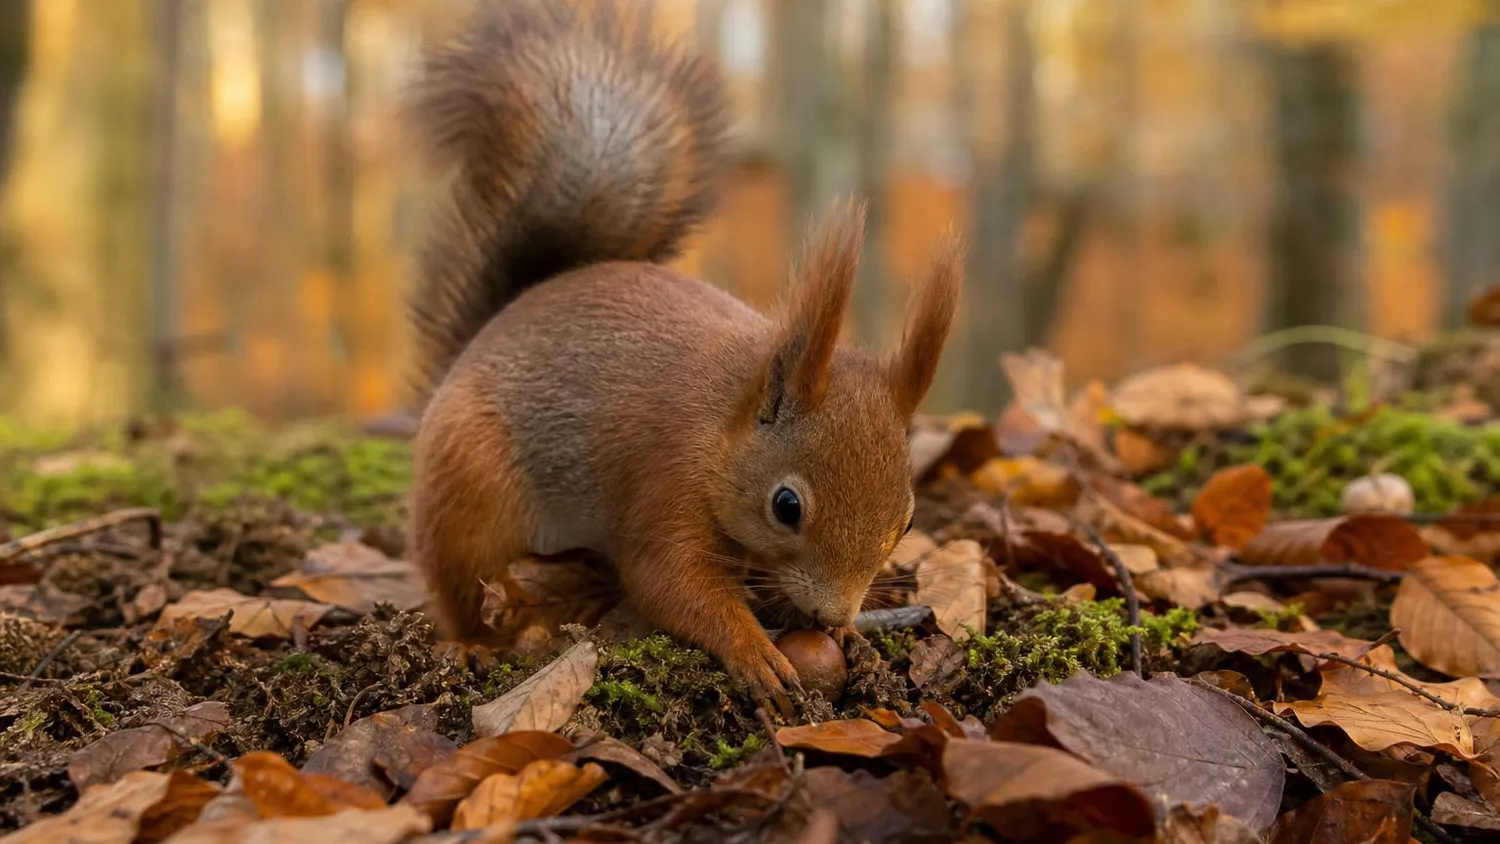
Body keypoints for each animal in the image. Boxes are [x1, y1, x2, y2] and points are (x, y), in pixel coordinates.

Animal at [403, 0, 961, 709]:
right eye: (786, 506)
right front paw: (753, 649)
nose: (834, 614)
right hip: (467, 492)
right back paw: (472, 644)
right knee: (459, 584)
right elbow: (670, 582)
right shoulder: (662, 483)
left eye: (910, 519)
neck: (724, 423)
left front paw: (845, 635)